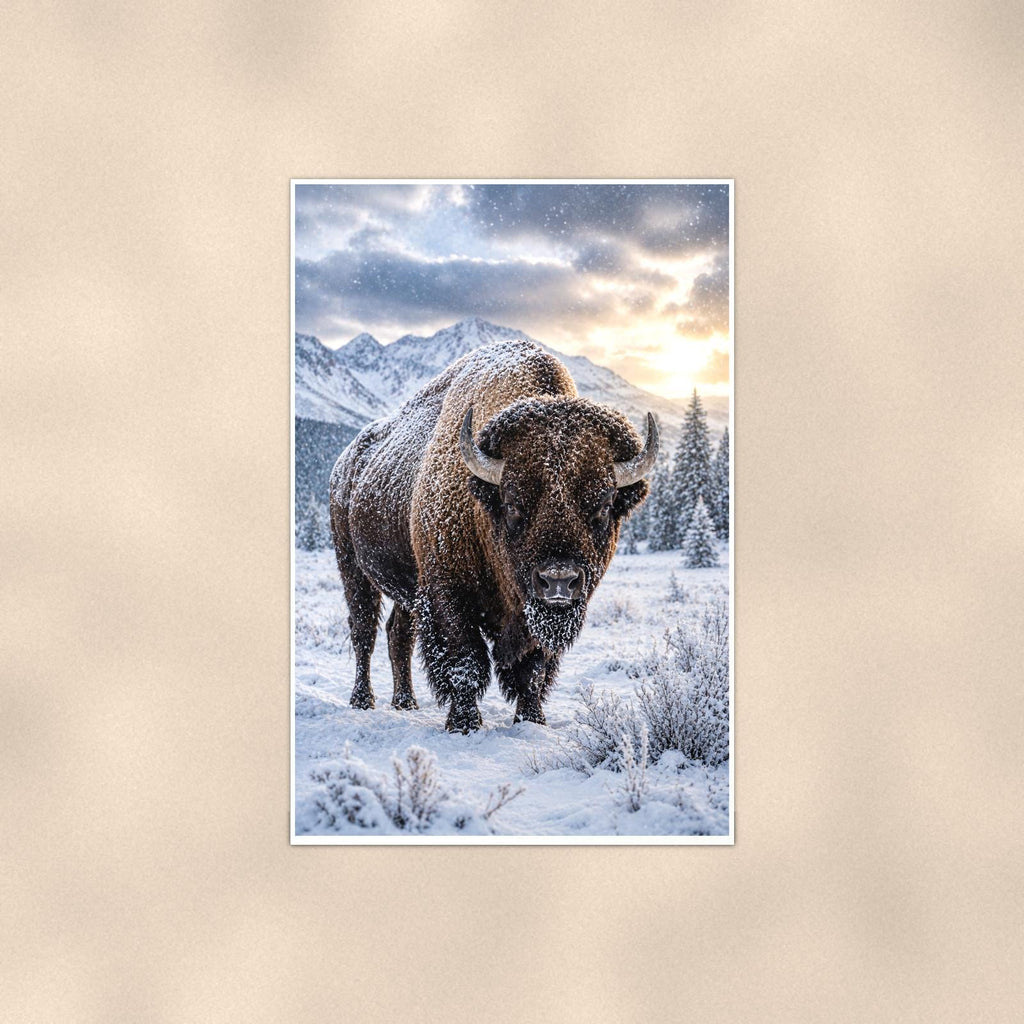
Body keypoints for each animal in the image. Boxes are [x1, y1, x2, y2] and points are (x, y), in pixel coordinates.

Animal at [328, 339, 658, 732]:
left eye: (604, 505)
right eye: (513, 502)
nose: (558, 581)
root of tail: (345, 463)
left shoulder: (531, 614)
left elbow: (532, 671)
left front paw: (532, 720)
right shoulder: (448, 594)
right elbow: (464, 662)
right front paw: (464, 723)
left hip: (406, 587)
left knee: (399, 634)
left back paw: (405, 702)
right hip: (353, 567)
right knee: (364, 632)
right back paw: (362, 700)